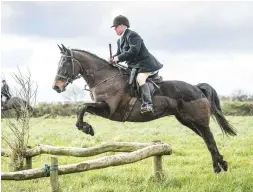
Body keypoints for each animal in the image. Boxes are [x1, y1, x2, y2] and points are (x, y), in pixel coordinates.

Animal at [52, 44, 236, 173]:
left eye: (65, 63)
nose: (56, 87)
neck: (104, 78)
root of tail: (196, 88)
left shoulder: (109, 110)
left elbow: (82, 107)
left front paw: (86, 128)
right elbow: (81, 108)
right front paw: (85, 127)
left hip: (198, 121)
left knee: (210, 140)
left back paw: (217, 167)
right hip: (187, 121)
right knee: (207, 139)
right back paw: (222, 163)